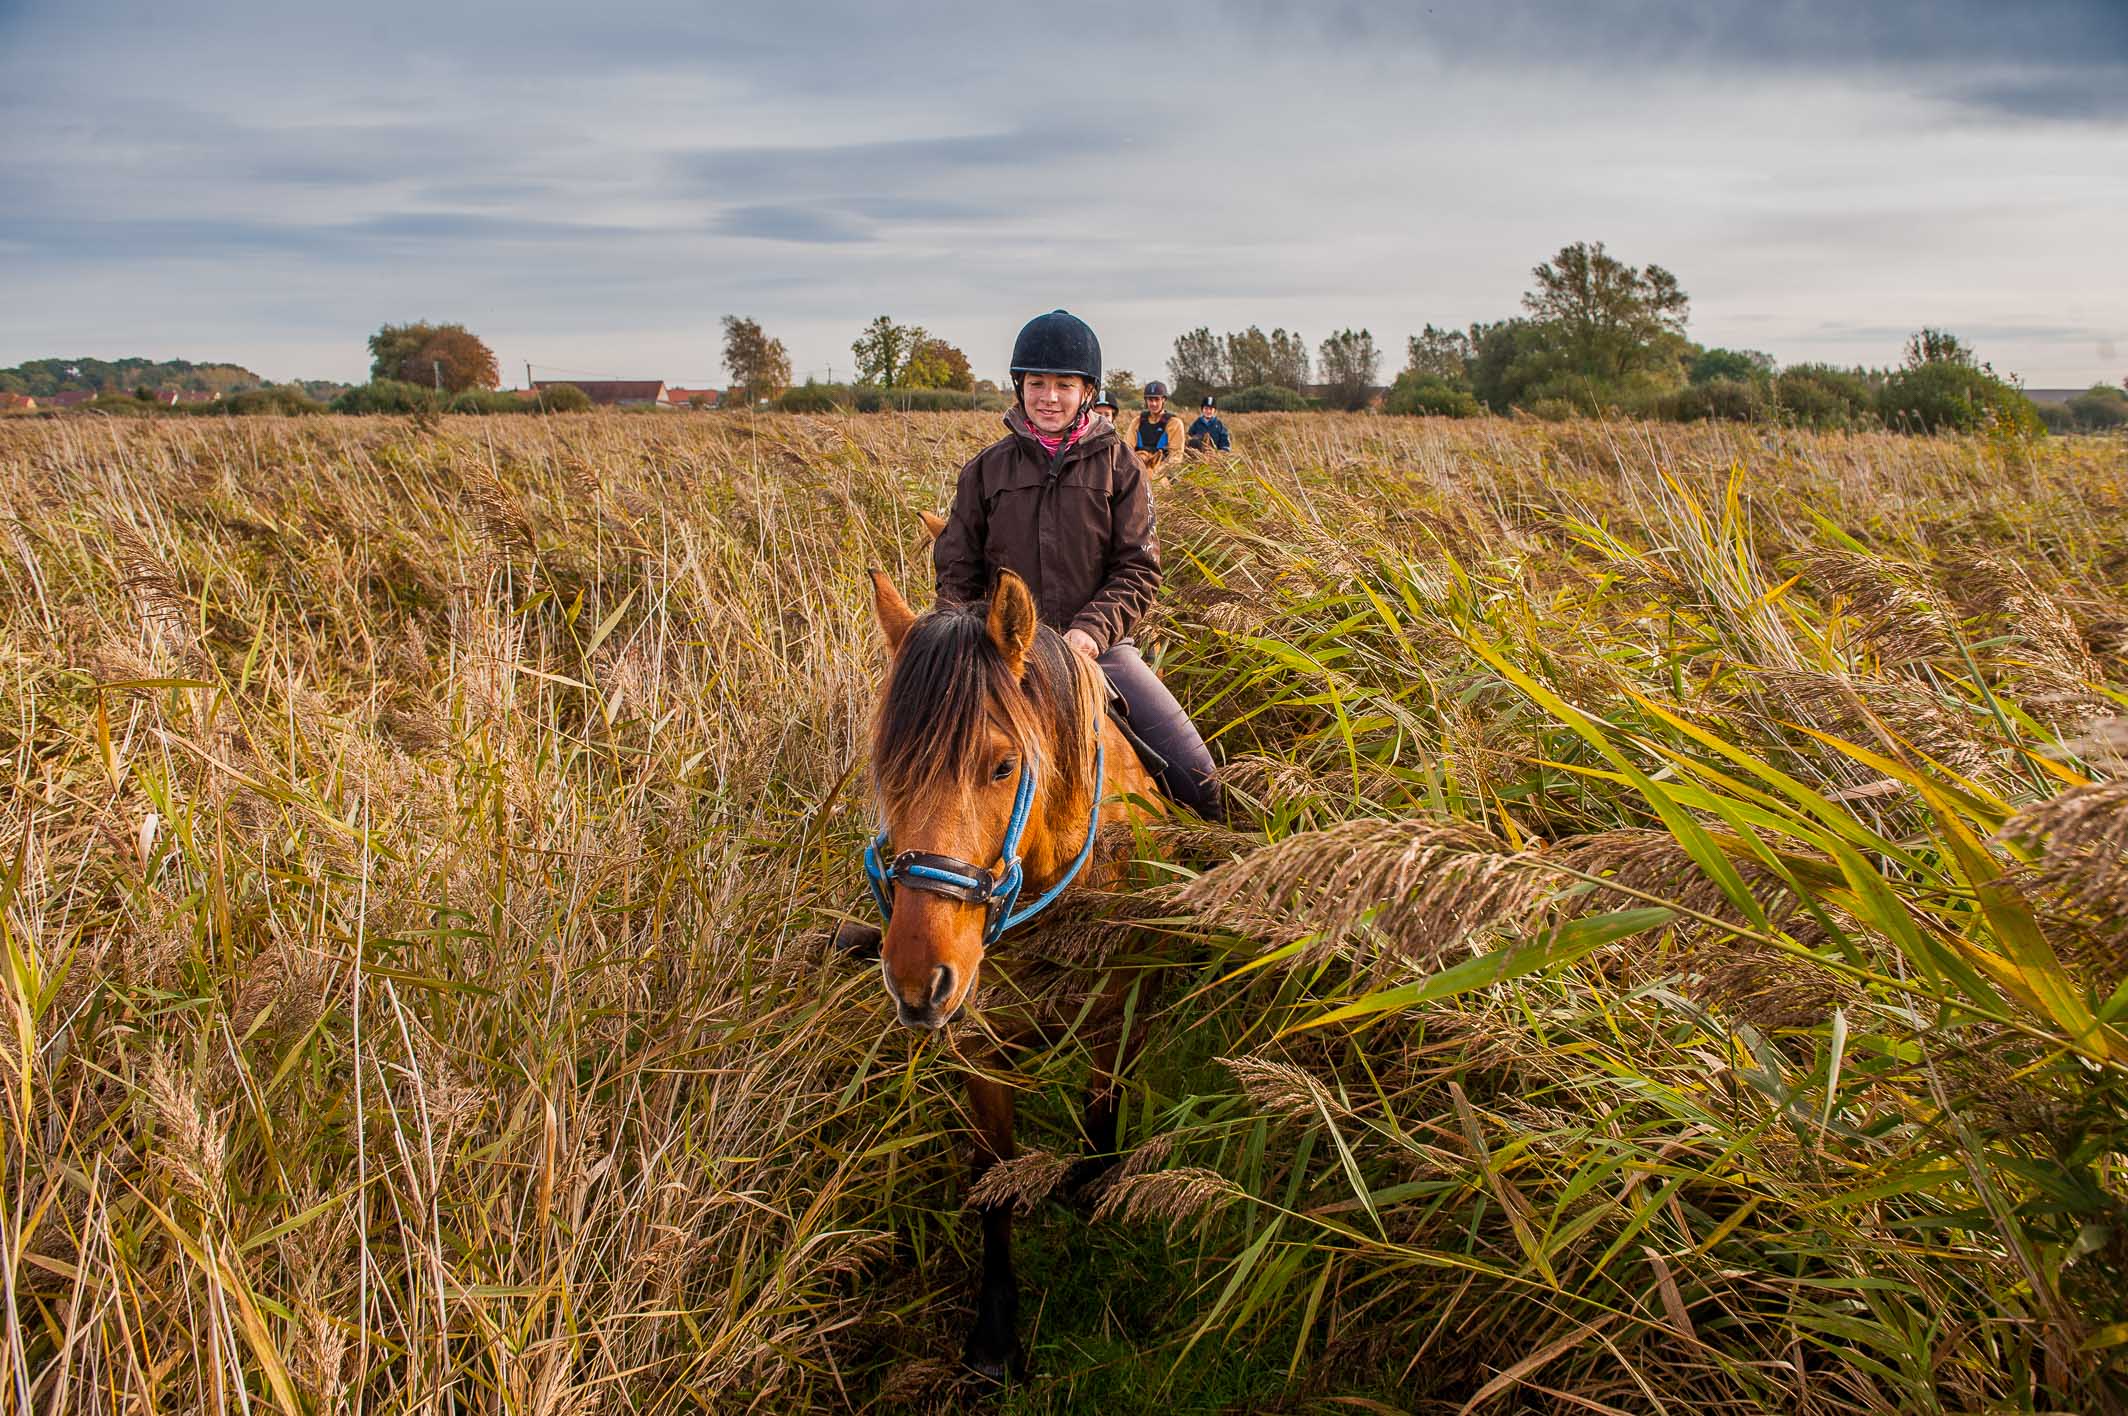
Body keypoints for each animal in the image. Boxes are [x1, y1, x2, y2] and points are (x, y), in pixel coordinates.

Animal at [858, 564, 1165, 1378]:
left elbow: (1102, 1098)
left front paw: (1094, 1183)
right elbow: (992, 1179)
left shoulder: (1117, 1003)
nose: (917, 981)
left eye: (1001, 765)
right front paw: (994, 1335)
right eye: (887, 769)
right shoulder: (978, 1049)